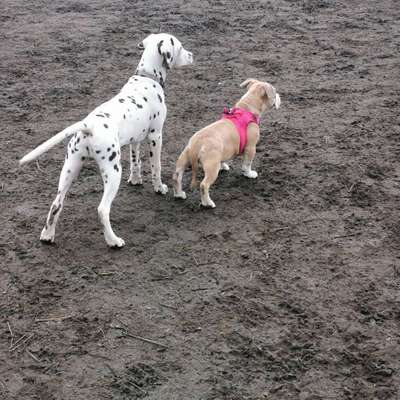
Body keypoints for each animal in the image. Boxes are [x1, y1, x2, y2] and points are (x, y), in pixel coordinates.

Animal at [20, 32, 194, 248]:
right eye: (180, 47)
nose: (192, 55)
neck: (147, 77)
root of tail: (88, 126)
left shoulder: (135, 140)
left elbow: (136, 162)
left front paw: (135, 180)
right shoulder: (156, 136)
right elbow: (156, 167)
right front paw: (160, 188)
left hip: (70, 169)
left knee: (56, 204)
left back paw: (47, 235)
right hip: (112, 172)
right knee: (102, 209)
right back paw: (113, 240)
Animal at [173, 79, 282, 208]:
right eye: (274, 92)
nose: (279, 95)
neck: (247, 107)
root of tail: (196, 144)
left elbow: (223, 160)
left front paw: (224, 166)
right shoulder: (251, 148)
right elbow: (247, 164)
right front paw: (249, 173)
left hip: (183, 159)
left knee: (177, 177)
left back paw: (179, 194)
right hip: (211, 167)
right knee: (204, 185)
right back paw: (207, 203)